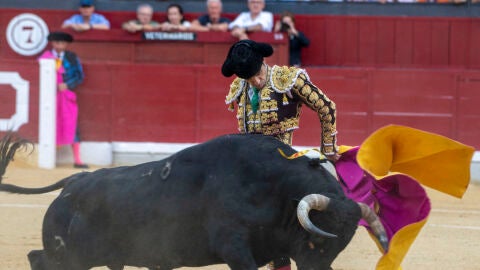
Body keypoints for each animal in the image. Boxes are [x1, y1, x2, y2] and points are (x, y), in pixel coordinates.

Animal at [0, 133, 386, 270]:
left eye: (341, 244)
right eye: (315, 238)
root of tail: (73, 183)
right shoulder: (234, 248)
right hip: (69, 255)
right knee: (37, 259)